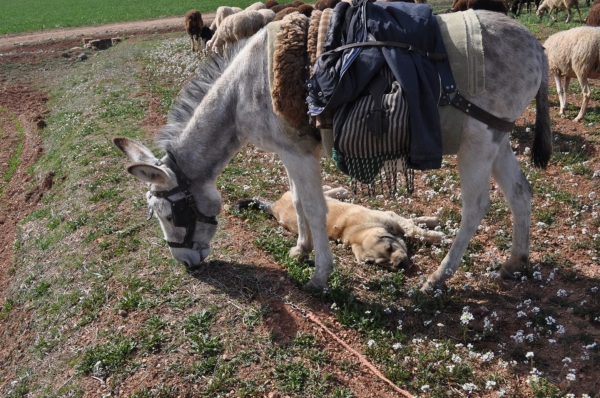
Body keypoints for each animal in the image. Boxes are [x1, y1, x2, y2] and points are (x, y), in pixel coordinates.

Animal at [234, 187, 446, 270]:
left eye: (390, 248)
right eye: (380, 263)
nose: (400, 265)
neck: (356, 233)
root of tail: (273, 206)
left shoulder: (392, 218)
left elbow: (415, 228)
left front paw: (435, 230)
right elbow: (414, 228)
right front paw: (437, 233)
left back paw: (339, 191)